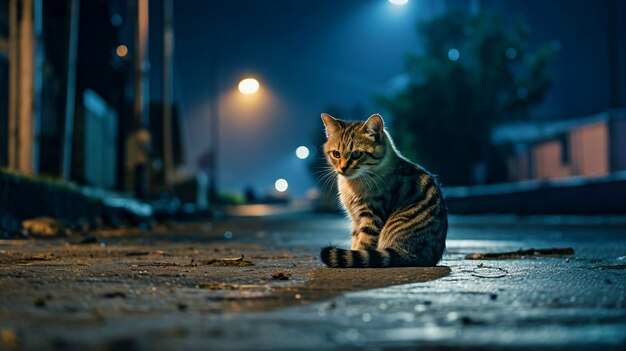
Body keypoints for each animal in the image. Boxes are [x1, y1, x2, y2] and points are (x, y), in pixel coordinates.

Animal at [320, 114, 446, 268]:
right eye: (336, 154)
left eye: (356, 154)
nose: (342, 168)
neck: (352, 184)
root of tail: (426, 257)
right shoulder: (356, 219)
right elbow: (355, 240)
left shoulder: (372, 215)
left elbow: (363, 245)